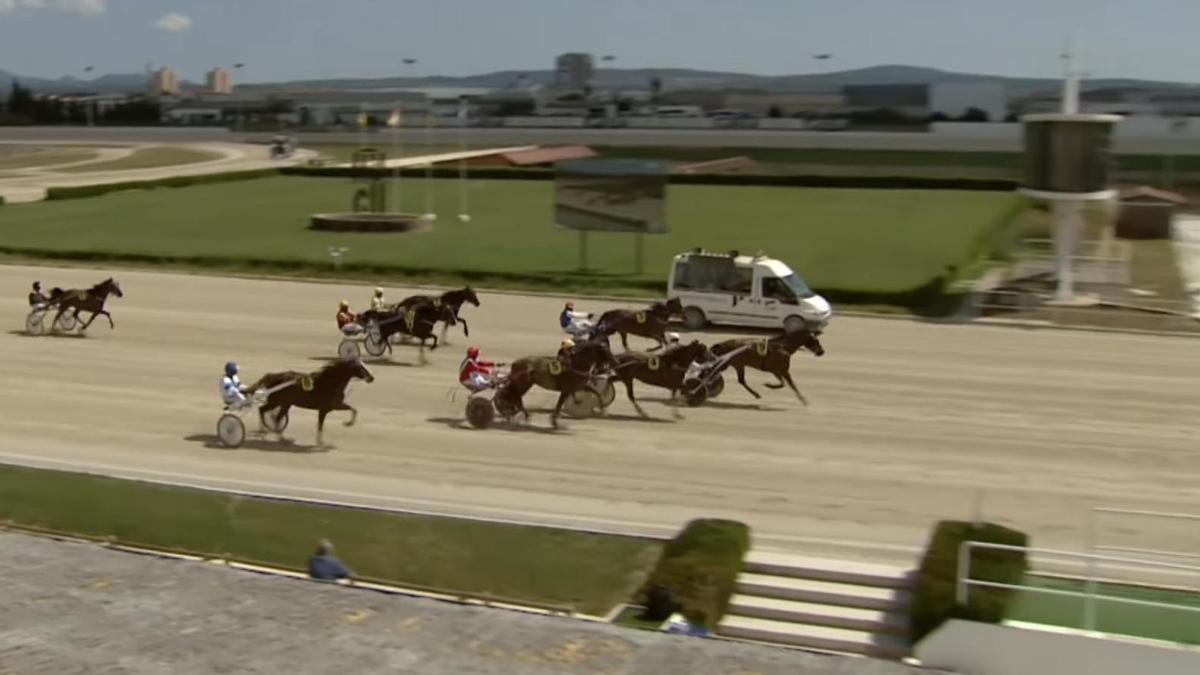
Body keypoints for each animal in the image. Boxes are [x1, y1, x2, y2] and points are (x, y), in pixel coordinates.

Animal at [241, 355, 372, 444]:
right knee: (264, 411)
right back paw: (270, 431)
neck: (329, 382)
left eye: (364, 364)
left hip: (284, 404)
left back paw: (278, 436)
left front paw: (348, 423)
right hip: (278, 401)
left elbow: (353, 409)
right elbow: (320, 425)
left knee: (273, 415)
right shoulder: (325, 408)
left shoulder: (335, 405)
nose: (372, 378)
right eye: (360, 367)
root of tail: (273, 376)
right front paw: (321, 442)